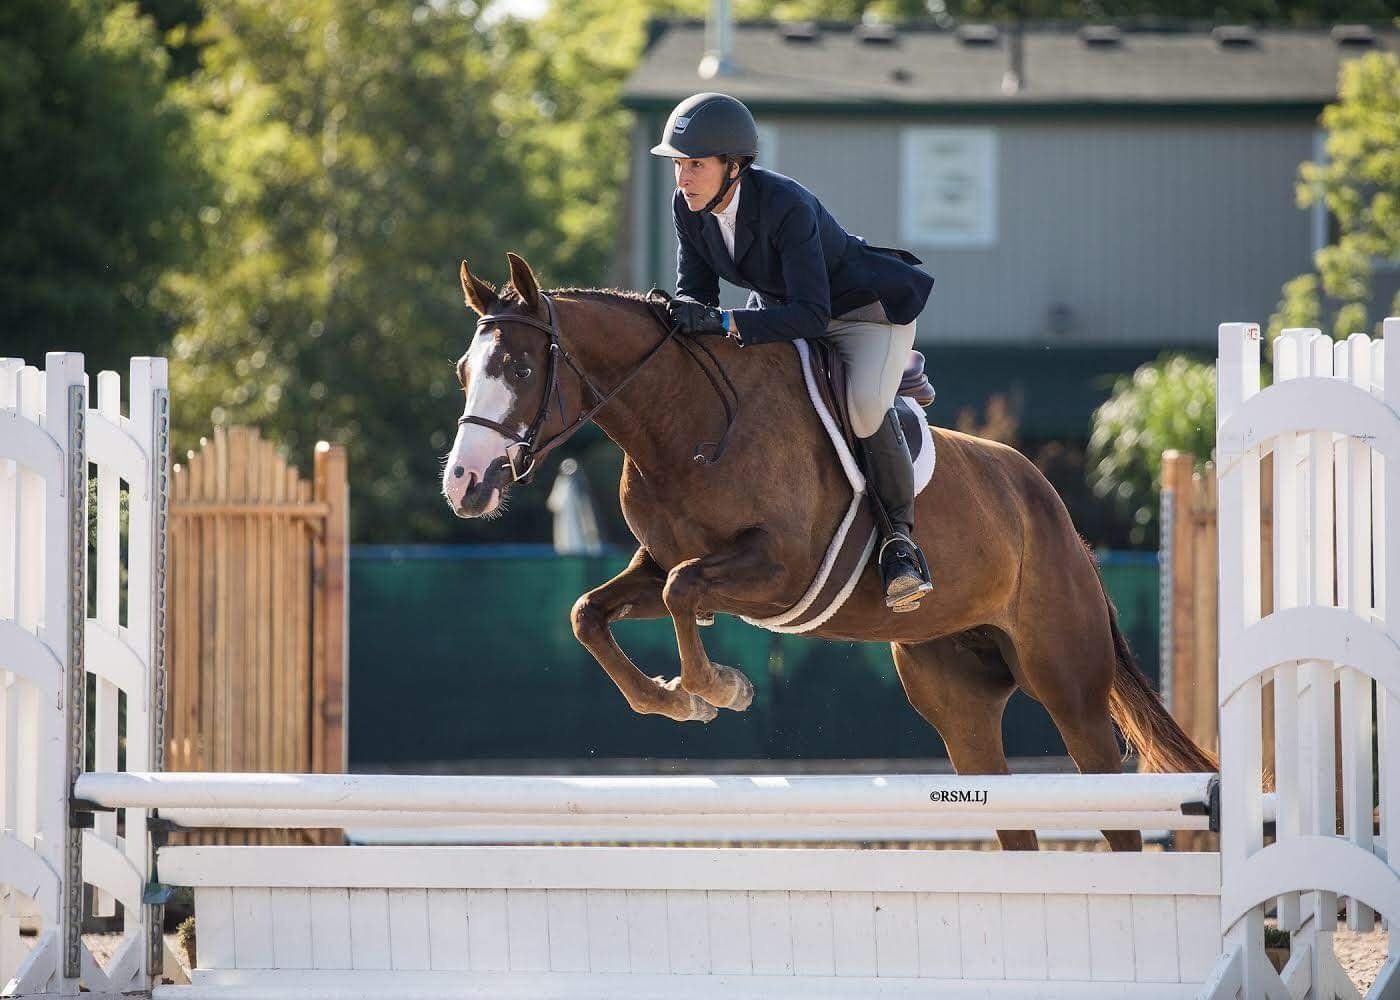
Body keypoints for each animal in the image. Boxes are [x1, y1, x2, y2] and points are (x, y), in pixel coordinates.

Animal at [442, 252, 1216, 851]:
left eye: (518, 368)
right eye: (463, 372)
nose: (464, 483)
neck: (683, 422)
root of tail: (1059, 520)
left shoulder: (777, 569)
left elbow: (682, 590)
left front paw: (718, 689)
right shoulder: (658, 564)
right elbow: (591, 611)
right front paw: (676, 700)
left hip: (1069, 687)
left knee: (1112, 810)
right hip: (957, 700)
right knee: (1010, 815)